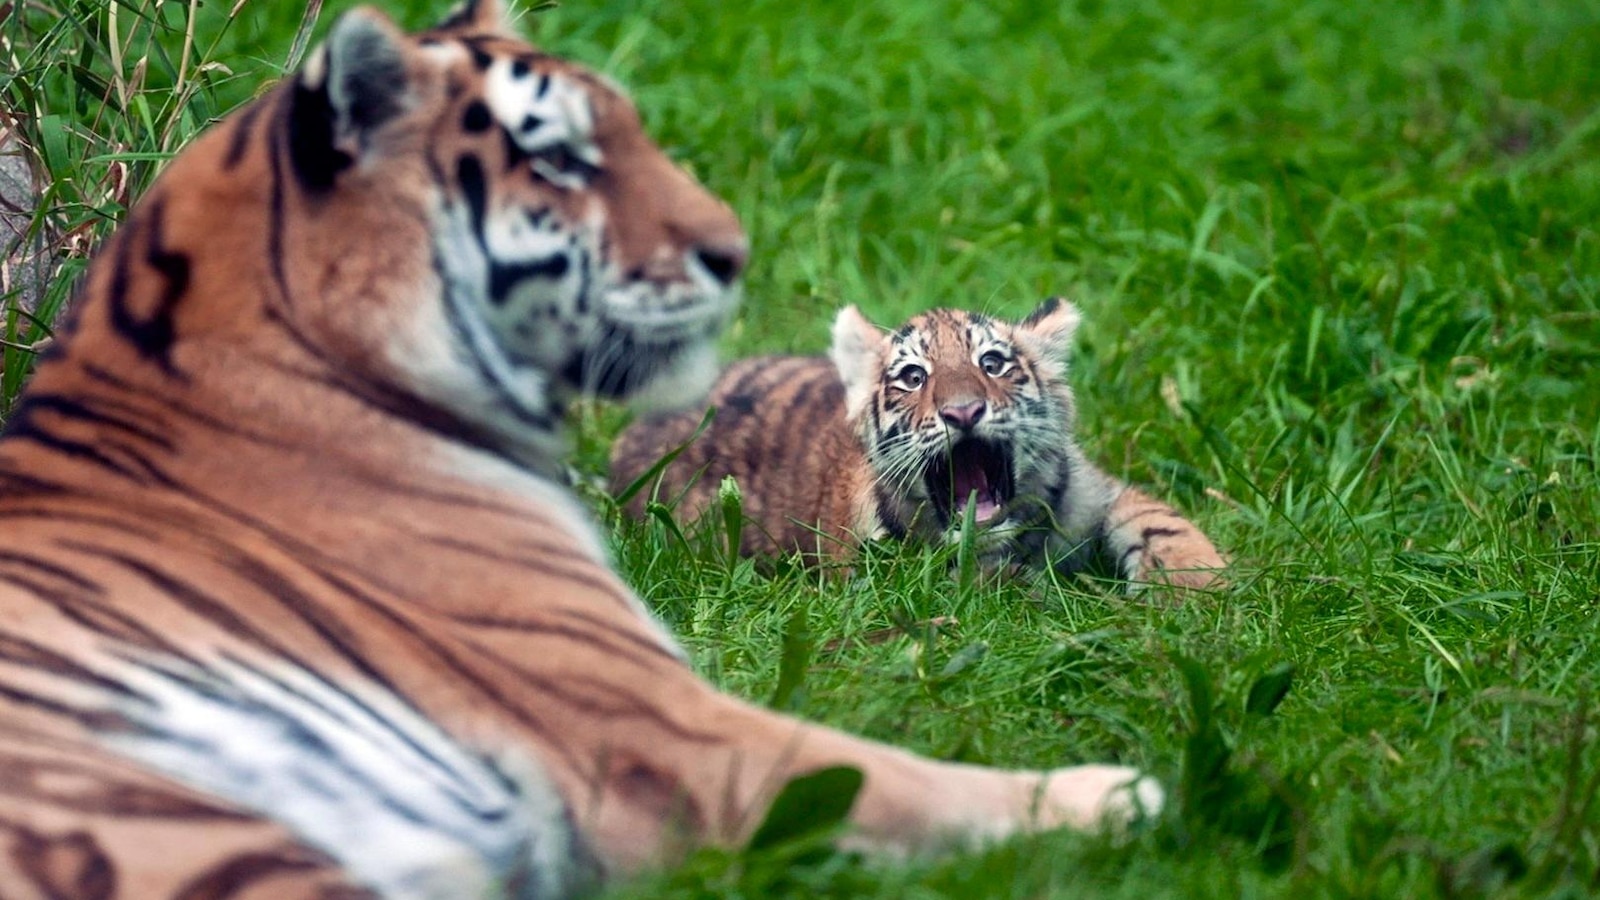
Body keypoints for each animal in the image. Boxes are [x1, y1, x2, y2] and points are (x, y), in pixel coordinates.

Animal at [0, 2, 1160, 897]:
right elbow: (899, 773)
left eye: (999, 366)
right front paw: (1120, 793)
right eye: (560, 158)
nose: (734, 251)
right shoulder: (652, 718)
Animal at [610, 300, 1227, 589]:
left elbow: (1161, 522)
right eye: (912, 377)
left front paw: (1194, 592)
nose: (963, 411)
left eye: (992, 363)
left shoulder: (1096, 489)